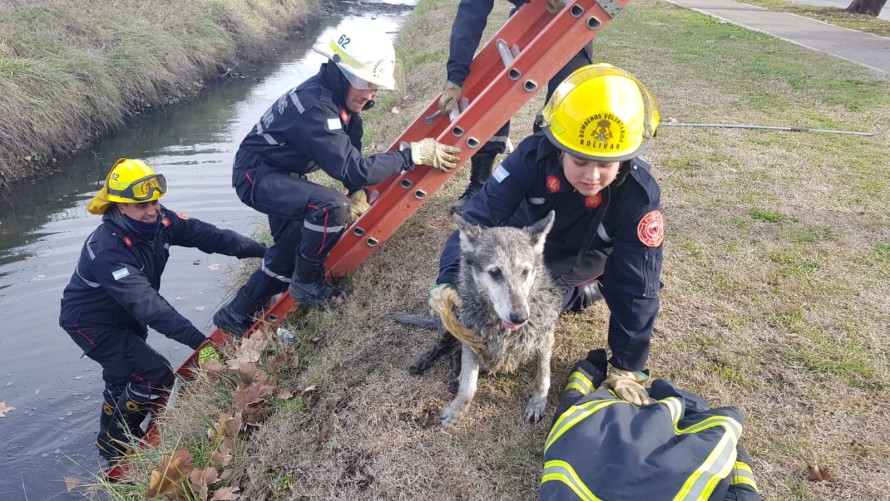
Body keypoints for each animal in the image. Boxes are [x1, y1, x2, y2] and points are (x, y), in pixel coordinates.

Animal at [398, 211, 560, 426]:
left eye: (525, 271)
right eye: (495, 272)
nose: (520, 318)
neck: (501, 328)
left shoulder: (544, 338)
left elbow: (543, 375)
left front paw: (538, 403)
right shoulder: (470, 341)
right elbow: (468, 385)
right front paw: (457, 409)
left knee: (453, 352)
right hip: (450, 322)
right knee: (442, 345)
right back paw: (425, 362)